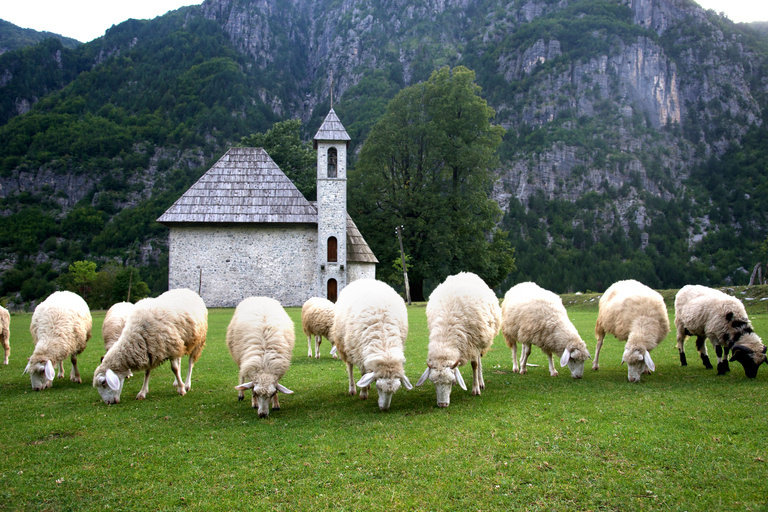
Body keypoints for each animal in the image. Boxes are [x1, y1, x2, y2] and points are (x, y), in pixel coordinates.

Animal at [332, 278, 414, 410]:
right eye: (378, 386)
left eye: (395, 390)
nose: (384, 409)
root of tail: (364, 279)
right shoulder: (359, 353)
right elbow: (363, 372)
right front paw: (363, 393)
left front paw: (366, 387)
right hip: (345, 346)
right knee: (350, 367)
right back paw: (352, 389)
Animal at [416, 272, 500, 408]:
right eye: (433, 382)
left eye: (450, 381)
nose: (442, 404)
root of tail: (465, 273)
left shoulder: (474, 343)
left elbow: (475, 364)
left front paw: (475, 389)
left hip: (480, 338)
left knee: (479, 360)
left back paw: (480, 382)